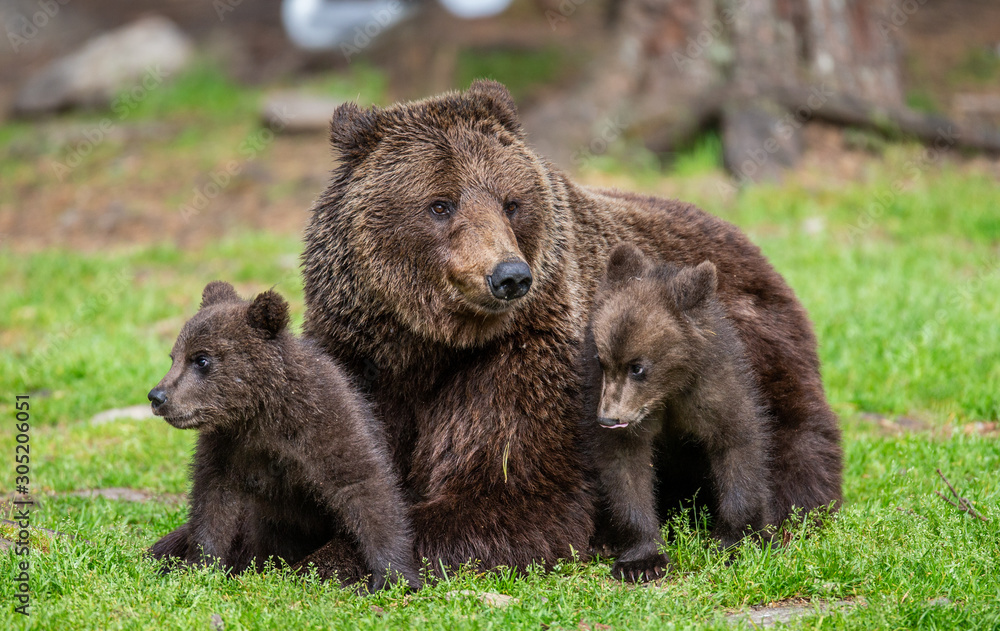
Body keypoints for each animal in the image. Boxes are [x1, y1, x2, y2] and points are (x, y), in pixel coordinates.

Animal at [146, 281, 420, 592]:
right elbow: (212, 502)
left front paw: (395, 575)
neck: (260, 412)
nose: (157, 396)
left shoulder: (325, 422)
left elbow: (365, 486)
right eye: (174, 357)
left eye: (201, 359)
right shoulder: (228, 446)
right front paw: (199, 565)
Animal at [581, 244, 776, 582]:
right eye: (601, 360)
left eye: (638, 367)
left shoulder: (714, 391)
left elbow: (737, 448)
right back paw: (603, 540)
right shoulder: (629, 414)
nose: (608, 419)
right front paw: (642, 560)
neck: (669, 389)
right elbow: (626, 469)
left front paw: (736, 543)